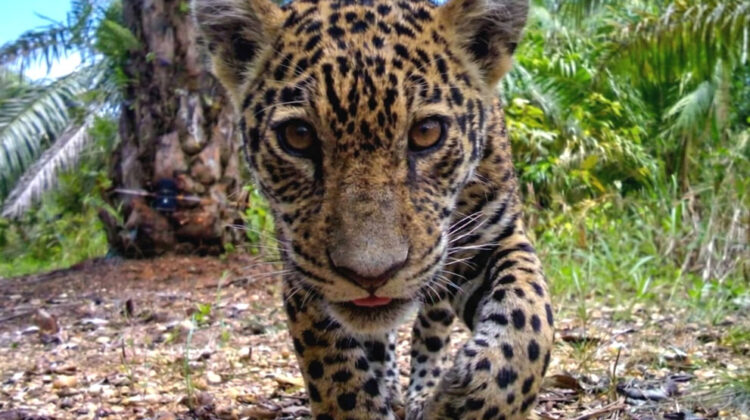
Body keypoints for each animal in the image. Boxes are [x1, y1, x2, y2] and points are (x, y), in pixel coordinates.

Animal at [193, 0, 554, 418]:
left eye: (427, 133)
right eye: (297, 137)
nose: (371, 275)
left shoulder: (495, 235)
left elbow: (529, 318)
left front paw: (467, 403)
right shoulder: (300, 270)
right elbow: (338, 375)